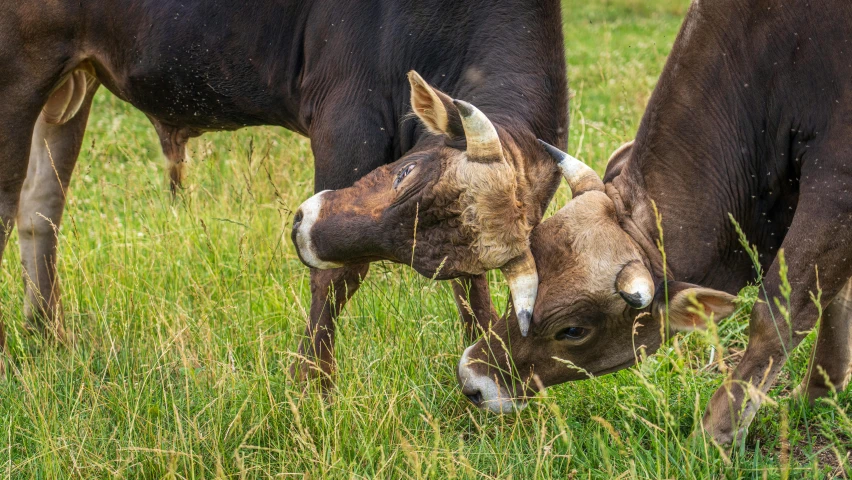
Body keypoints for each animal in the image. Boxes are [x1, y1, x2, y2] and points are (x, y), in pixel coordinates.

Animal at [1, 0, 572, 382]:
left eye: (431, 261)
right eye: (405, 173)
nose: (300, 229)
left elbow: (471, 292)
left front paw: (483, 369)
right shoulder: (348, 118)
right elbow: (338, 277)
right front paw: (311, 384)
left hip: (70, 85)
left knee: (41, 209)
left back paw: (47, 333)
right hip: (19, 72)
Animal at [456, 0, 852, 444]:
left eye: (572, 330)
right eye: (515, 297)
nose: (471, 380)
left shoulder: (837, 183)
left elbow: (779, 315)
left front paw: (714, 435)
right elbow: (836, 295)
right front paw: (820, 390)